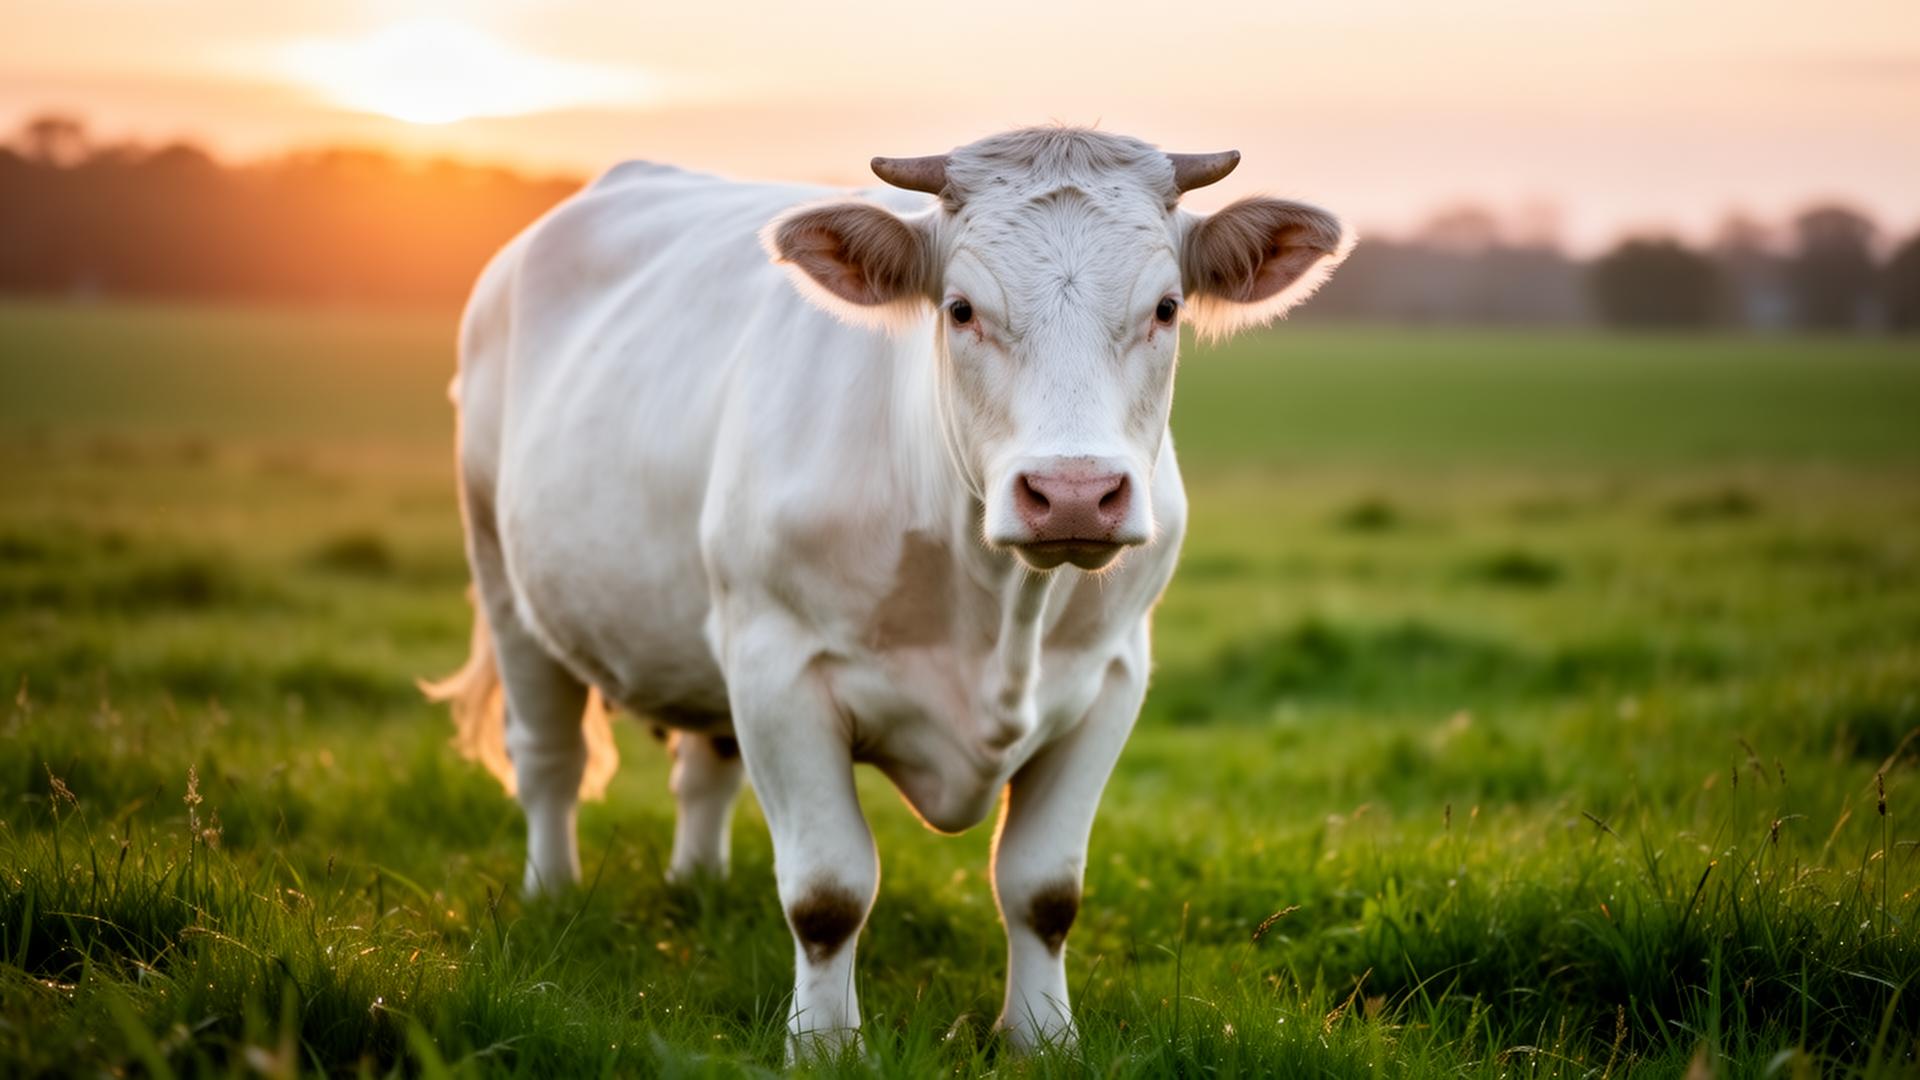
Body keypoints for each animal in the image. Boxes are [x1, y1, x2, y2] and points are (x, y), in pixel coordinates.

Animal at [425, 127, 1351, 1056]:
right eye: (961, 309)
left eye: (1165, 308)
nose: (1073, 493)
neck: (999, 606)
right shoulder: (778, 667)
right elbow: (827, 893)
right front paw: (823, 1047)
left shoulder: (1111, 676)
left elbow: (1044, 890)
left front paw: (1043, 1037)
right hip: (503, 575)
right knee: (549, 759)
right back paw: (552, 898)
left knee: (704, 770)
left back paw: (697, 887)